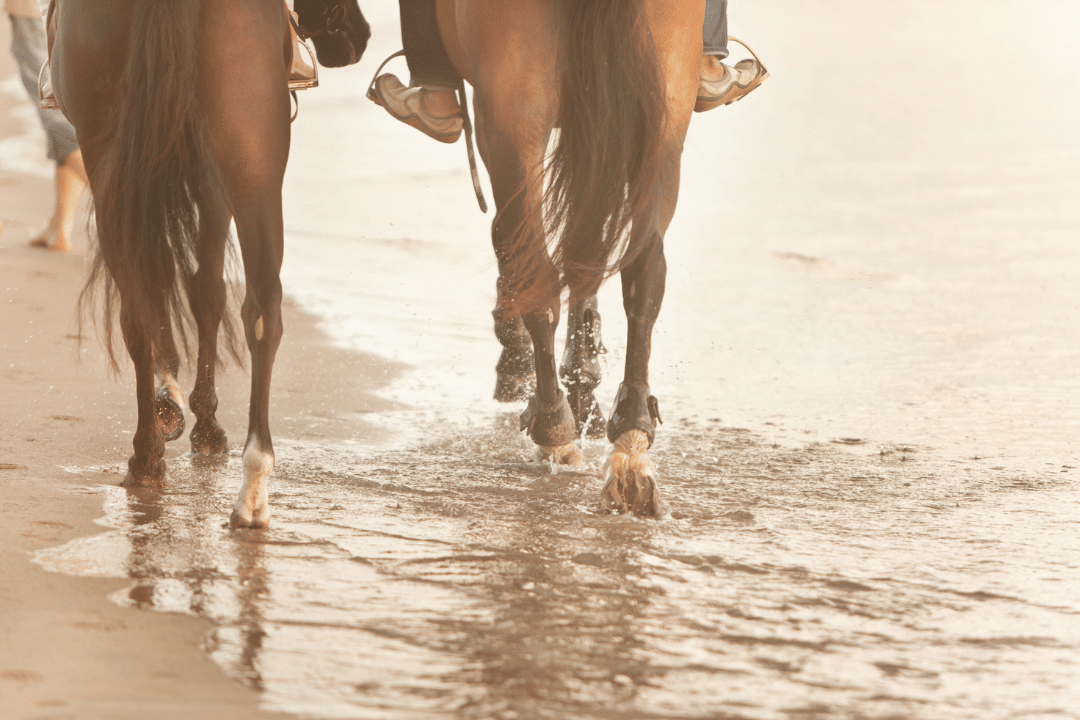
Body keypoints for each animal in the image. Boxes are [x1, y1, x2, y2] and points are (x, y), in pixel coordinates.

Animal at [47, 0, 367, 528]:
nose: (355, 37)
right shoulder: (207, 175)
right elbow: (206, 291)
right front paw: (200, 417)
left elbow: (194, 289)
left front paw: (178, 407)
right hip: (249, 169)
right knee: (260, 309)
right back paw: (248, 483)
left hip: (122, 162)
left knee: (149, 304)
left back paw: (152, 455)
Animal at [434, 0, 704, 518]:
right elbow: (585, 251)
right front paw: (584, 377)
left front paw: (527, 360)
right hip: (662, 110)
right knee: (642, 265)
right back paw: (629, 442)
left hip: (511, 110)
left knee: (536, 266)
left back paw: (553, 426)